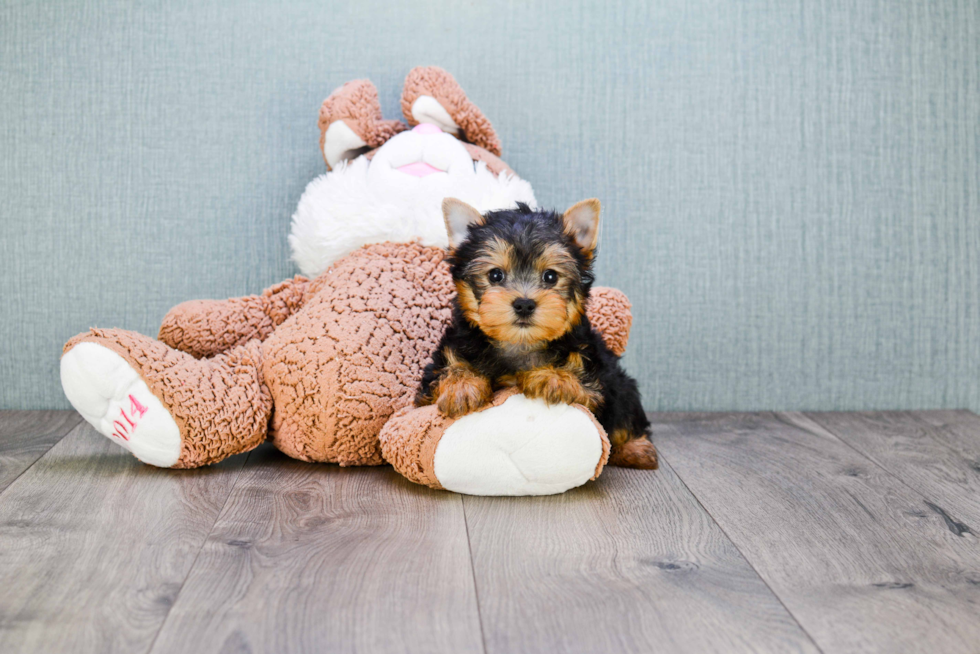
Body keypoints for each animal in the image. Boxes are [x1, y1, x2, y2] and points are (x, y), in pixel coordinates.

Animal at [420, 197, 660, 468]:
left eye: (551, 276)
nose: (524, 304)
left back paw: (635, 449)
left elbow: (583, 385)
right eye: (495, 275)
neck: (520, 343)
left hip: (621, 386)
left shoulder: (595, 377)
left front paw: (552, 377)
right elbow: (449, 371)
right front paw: (461, 386)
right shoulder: (440, 366)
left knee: (625, 415)